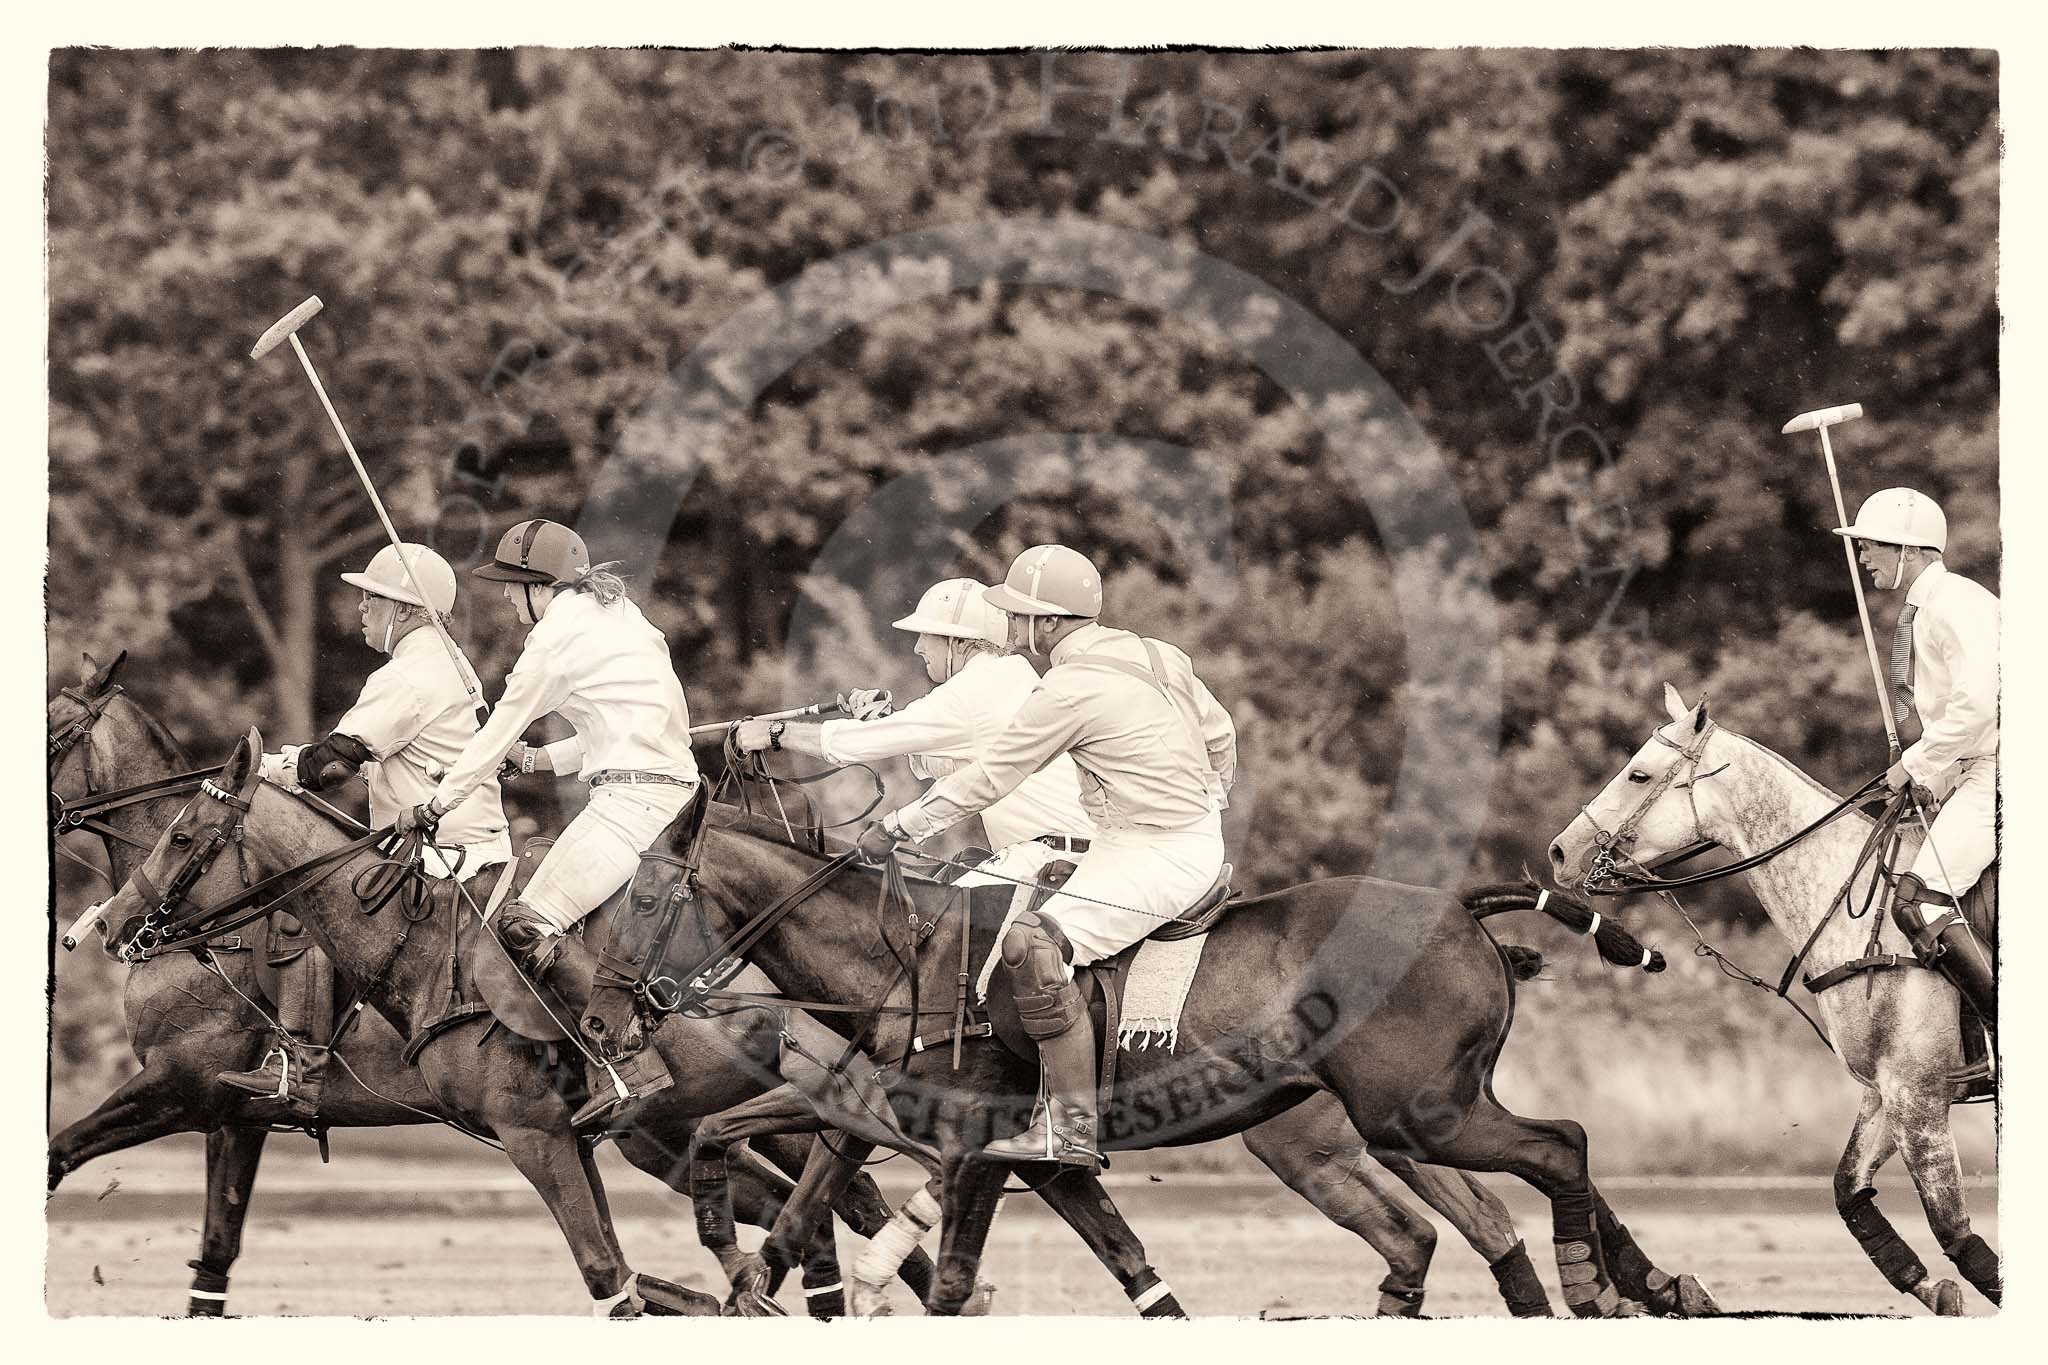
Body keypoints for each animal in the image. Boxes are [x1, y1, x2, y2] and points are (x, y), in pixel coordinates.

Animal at [56, 703, 909, 1309]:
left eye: (182, 834)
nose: (119, 927)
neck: (416, 945)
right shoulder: (236, 1114)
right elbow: (215, 1254)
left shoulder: (185, 1086)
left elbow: (59, 1150)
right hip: (679, 1131)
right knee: (834, 1199)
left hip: (693, 1121)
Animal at [667, 818, 1712, 1317]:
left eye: (647, 890)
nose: (642, 1002)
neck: (909, 955)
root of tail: (1459, 907)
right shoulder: (971, 1144)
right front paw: (740, 1274)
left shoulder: (970, 1149)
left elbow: (952, 1278)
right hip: (1418, 1114)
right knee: (1484, 1202)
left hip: (1409, 1115)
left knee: (1556, 1148)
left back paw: (1597, 1289)